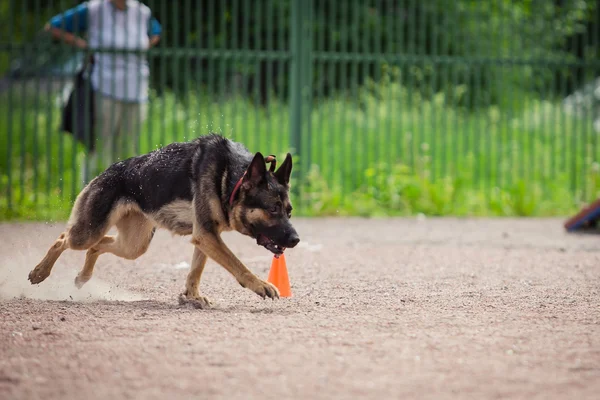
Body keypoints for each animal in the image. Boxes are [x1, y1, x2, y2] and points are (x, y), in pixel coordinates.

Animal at [28, 134, 300, 306]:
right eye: (273, 209)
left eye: (289, 211)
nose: (296, 240)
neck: (231, 178)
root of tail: (108, 170)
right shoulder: (206, 235)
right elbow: (238, 265)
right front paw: (260, 284)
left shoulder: (205, 236)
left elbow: (195, 270)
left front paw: (192, 297)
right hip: (88, 232)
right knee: (63, 239)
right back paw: (40, 272)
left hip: (134, 246)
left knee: (97, 246)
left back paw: (82, 277)